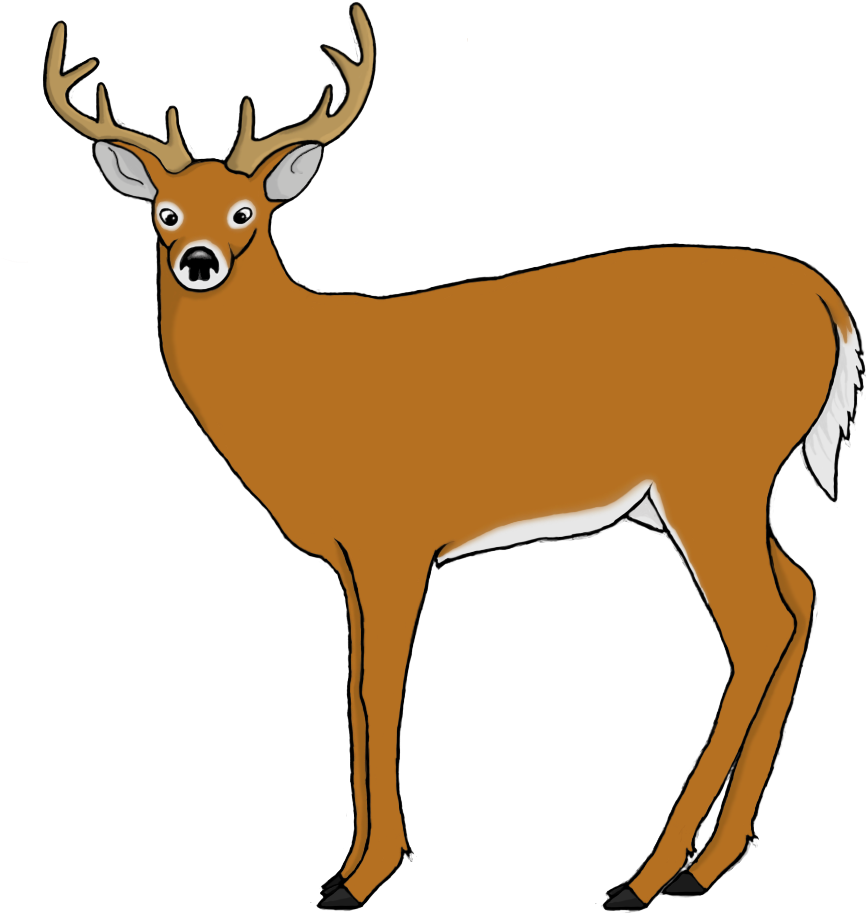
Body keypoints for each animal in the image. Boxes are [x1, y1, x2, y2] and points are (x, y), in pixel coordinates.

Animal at [44, 4, 862, 910]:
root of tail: (824, 298)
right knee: (800, 592)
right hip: (706, 492)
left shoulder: (395, 536)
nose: (198, 262)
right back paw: (706, 863)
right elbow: (354, 687)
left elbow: (378, 688)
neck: (300, 387)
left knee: (760, 624)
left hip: (712, 471)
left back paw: (645, 877)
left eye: (245, 214)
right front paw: (351, 866)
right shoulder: (352, 556)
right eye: (163, 213)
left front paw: (362, 874)